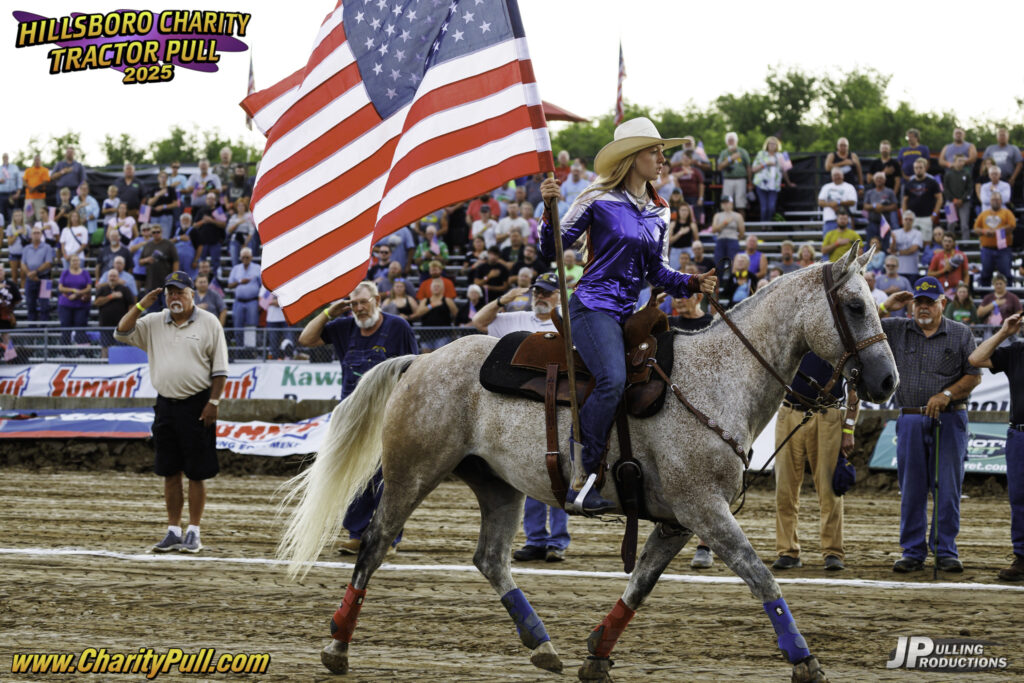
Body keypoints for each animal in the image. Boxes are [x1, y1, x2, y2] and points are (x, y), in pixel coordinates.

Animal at [278, 245, 898, 682]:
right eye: (854, 305)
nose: (889, 381)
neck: (719, 376)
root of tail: (421, 359)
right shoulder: (705, 510)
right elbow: (760, 575)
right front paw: (803, 659)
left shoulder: (678, 521)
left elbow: (640, 585)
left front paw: (596, 653)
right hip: (413, 472)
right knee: (376, 543)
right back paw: (337, 645)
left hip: (498, 486)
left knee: (490, 560)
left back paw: (542, 645)